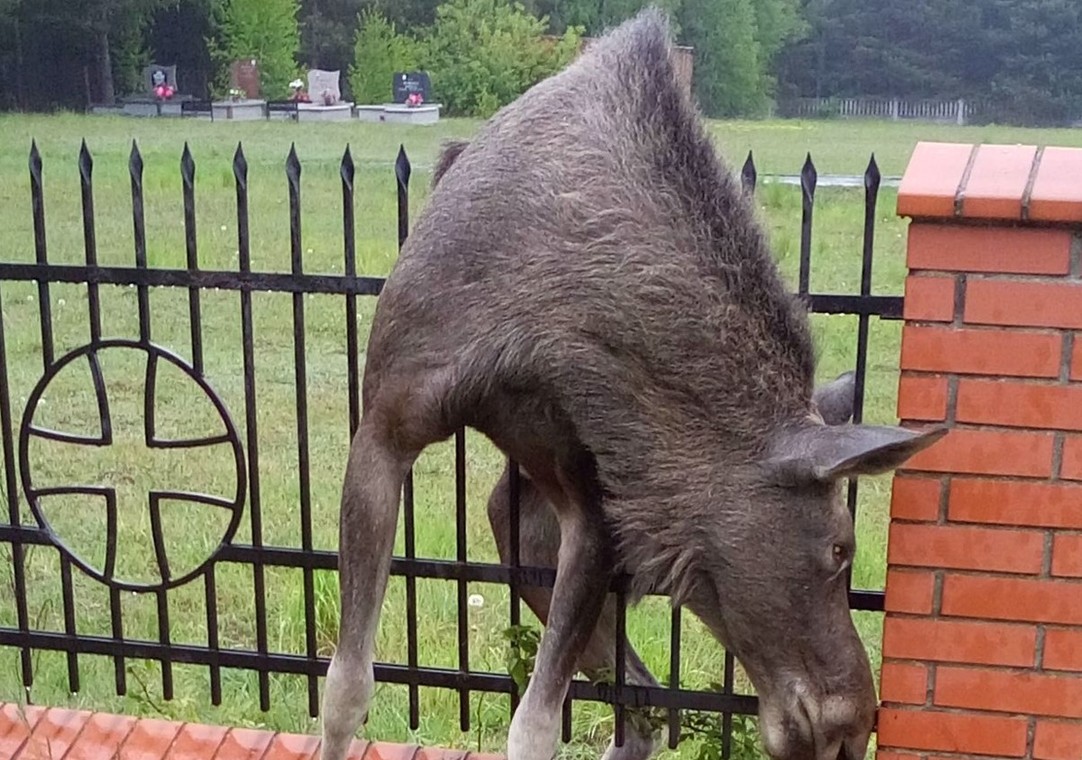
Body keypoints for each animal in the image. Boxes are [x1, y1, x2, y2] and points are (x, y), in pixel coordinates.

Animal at [315, 8, 943, 760]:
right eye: (841, 549)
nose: (854, 722)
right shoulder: (385, 426)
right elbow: (346, 687)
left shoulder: (596, 510)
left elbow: (535, 725)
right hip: (517, 530)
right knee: (638, 696)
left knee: (641, 703)